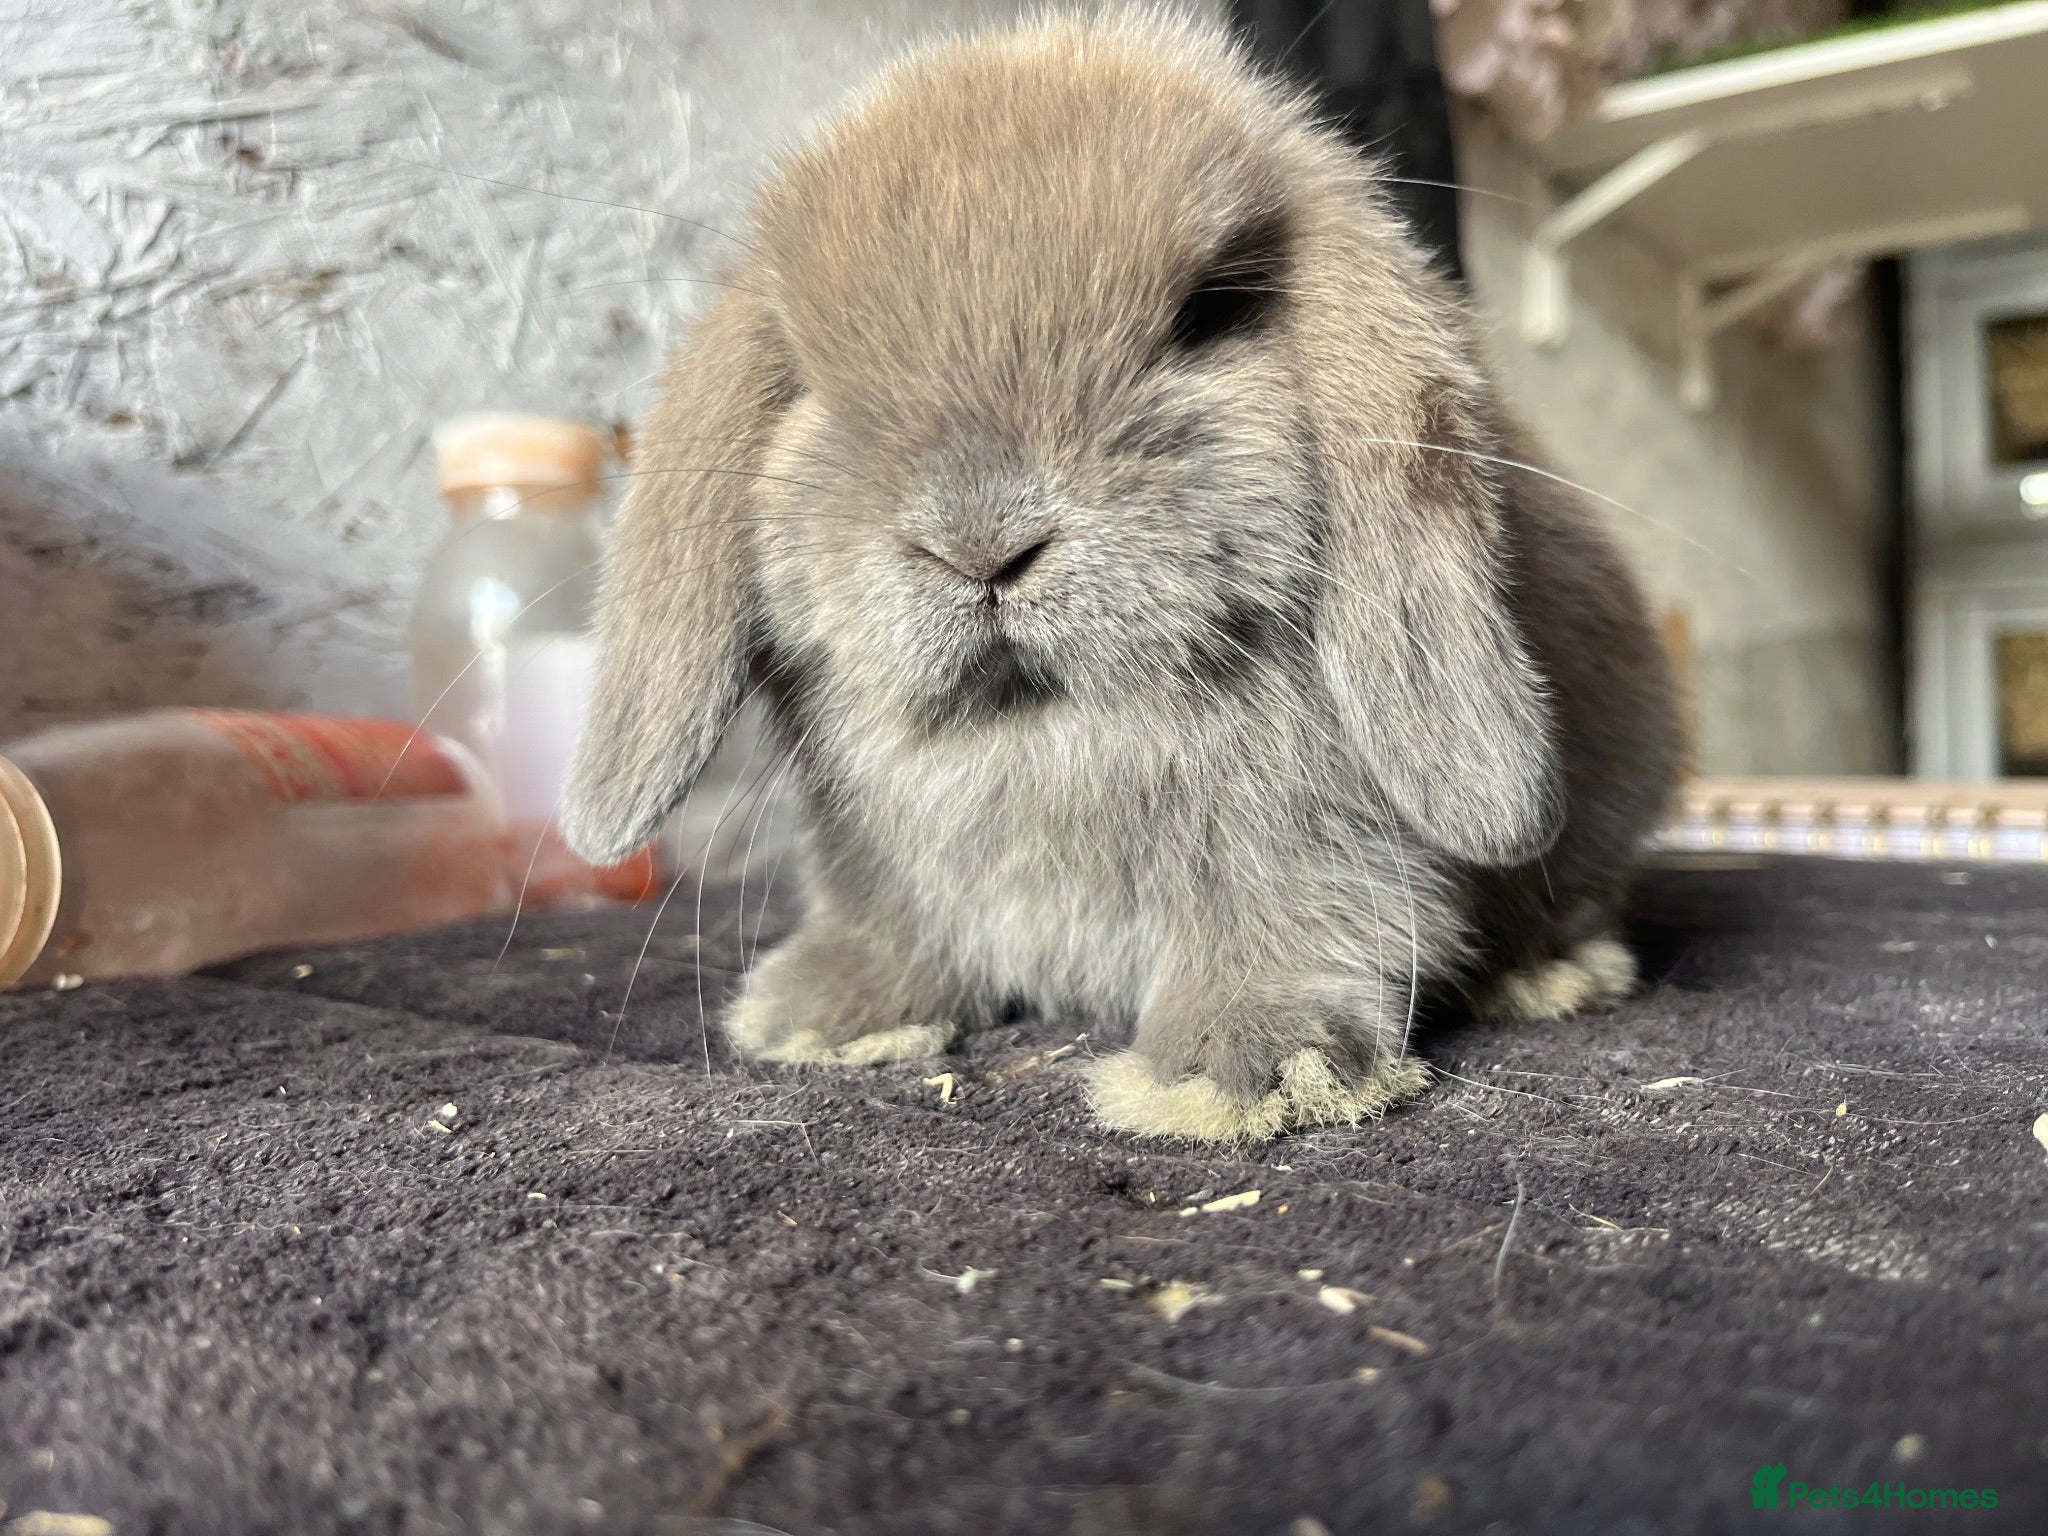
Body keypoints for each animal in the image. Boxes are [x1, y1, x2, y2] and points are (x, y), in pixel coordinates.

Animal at [559, 6, 1682, 1142]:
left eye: (1208, 313)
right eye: (803, 375)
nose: (981, 540)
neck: (1043, 727)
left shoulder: (1331, 848)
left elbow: (1310, 924)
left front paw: (1242, 1071)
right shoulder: (866, 851)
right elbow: (891, 923)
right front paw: (825, 1016)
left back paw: (1549, 976)